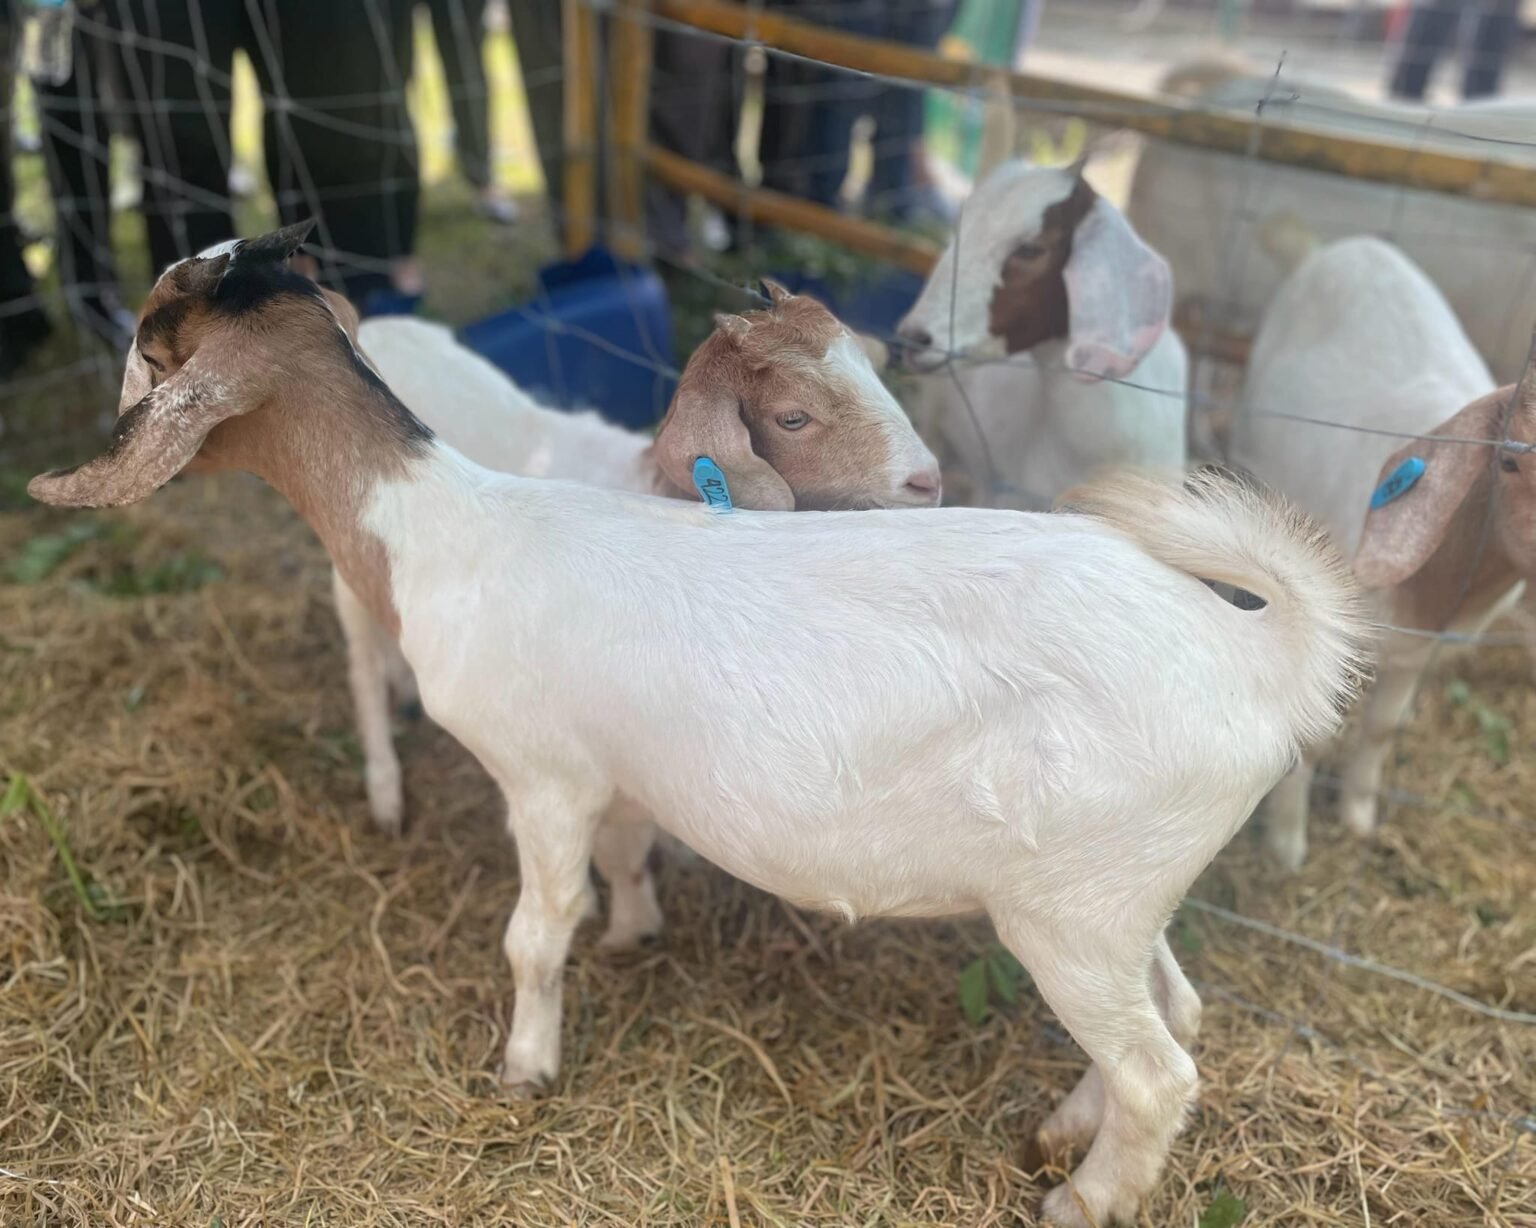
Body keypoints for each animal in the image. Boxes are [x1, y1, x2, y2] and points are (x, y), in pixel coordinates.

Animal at [340, 295, 940, 948]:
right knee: (361, 665)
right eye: (792, 418)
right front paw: (628, 922)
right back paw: (384, 790)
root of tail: (380, 321)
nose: (928, 481)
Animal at [1235, 235, 1519, 868]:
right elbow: (1313, 736)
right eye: (1514, 461)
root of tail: (1338, 246)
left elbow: (1382, 729)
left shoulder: (1418, 652)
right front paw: (1288, 849)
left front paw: (1359, 817)